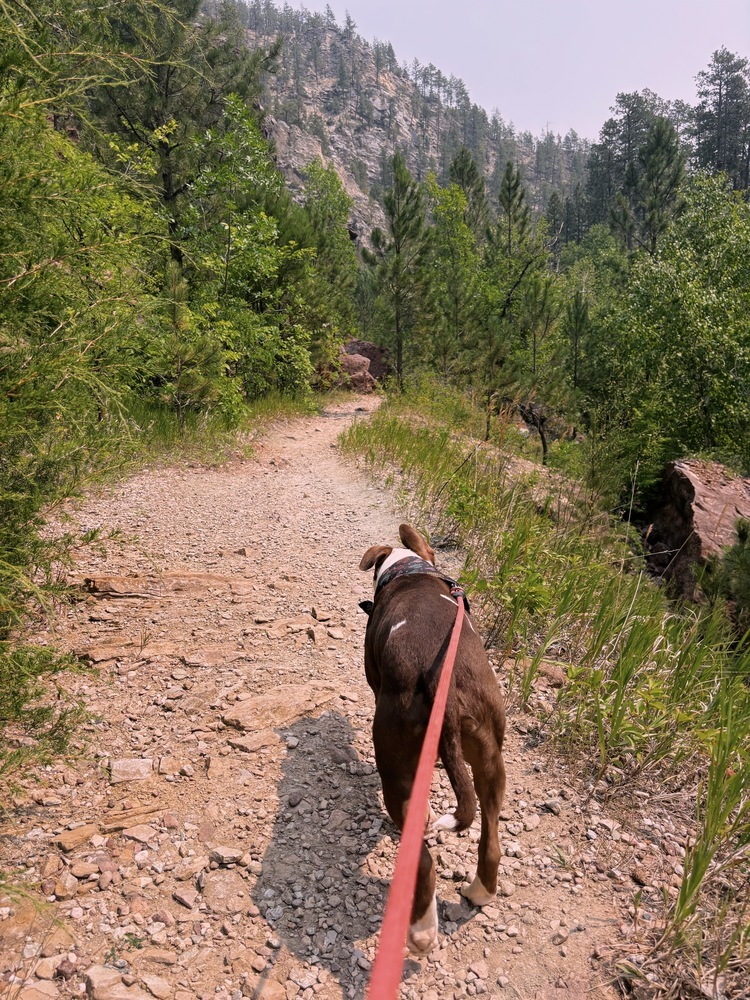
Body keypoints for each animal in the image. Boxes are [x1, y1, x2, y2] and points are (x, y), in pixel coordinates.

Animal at [362, 524, 508, 952]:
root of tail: (444, 693)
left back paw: (422, 930)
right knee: (491, 839)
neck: (409, 570)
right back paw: (480, 892)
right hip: (490, 754)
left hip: (395, 769)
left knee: (423, 862)